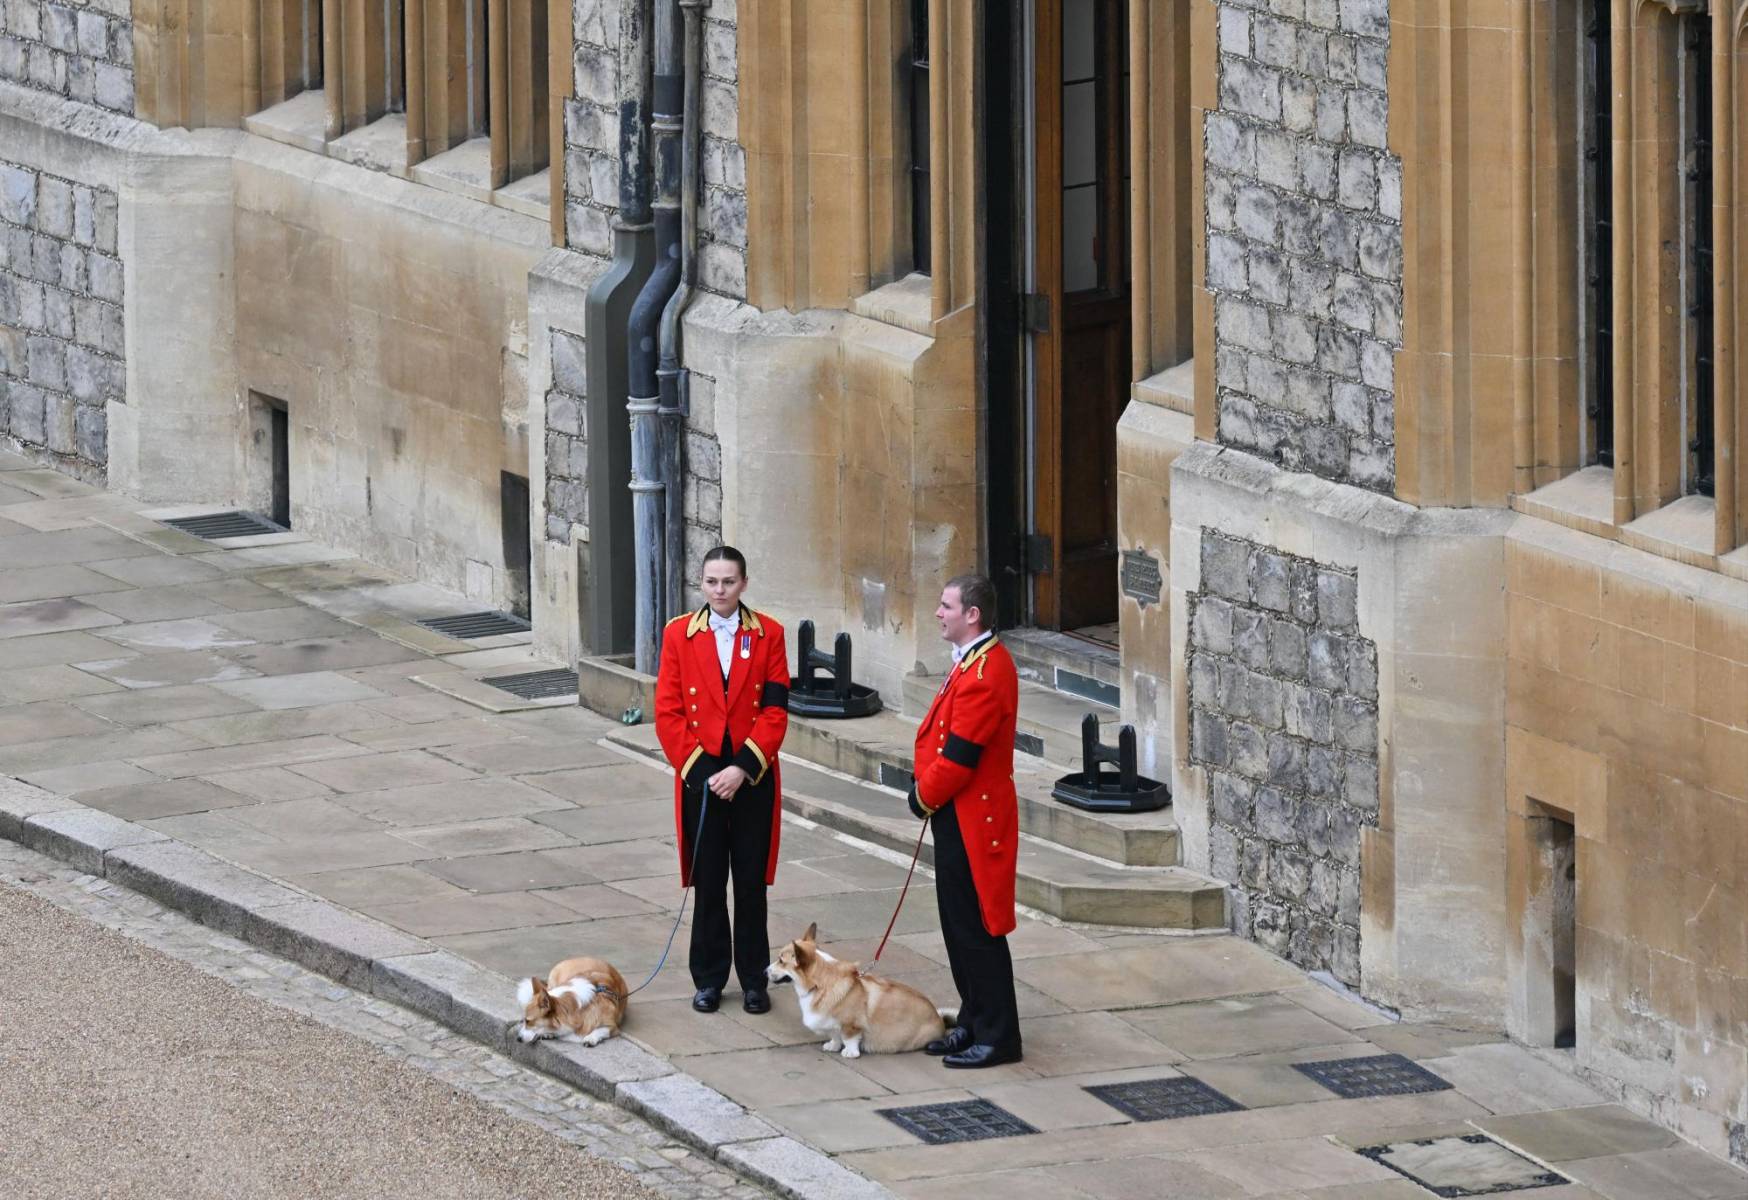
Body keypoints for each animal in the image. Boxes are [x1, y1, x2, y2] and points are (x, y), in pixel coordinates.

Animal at [765, 923, 950, 1056]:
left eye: (781, 961)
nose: (764, 971)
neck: (821, 984)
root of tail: (940, 1020)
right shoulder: (831, 1025)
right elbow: (835, 1036)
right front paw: (833, 1045)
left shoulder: (851, 1025)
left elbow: (849, 1038)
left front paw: (850, 1052)